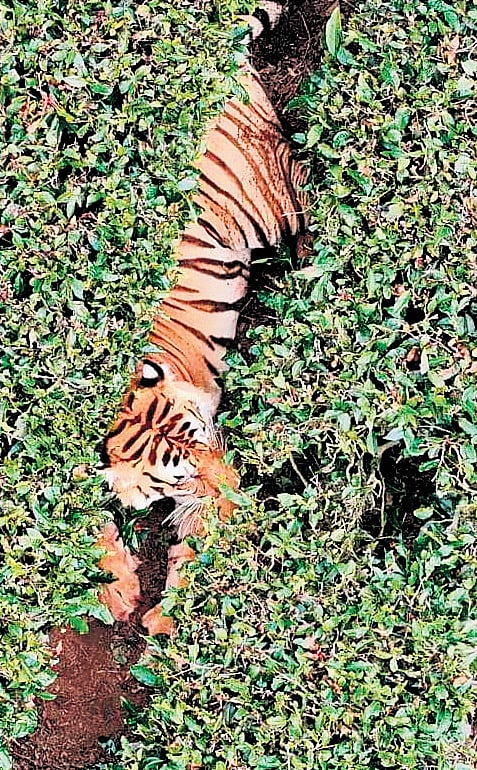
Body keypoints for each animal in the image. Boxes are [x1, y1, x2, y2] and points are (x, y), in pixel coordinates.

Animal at [97, 0, 309, 635]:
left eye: (207, 439)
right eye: (179, 472)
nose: (238, 487)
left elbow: (197, 549)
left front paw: (169, 625)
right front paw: (118, 591)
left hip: (272, 200)